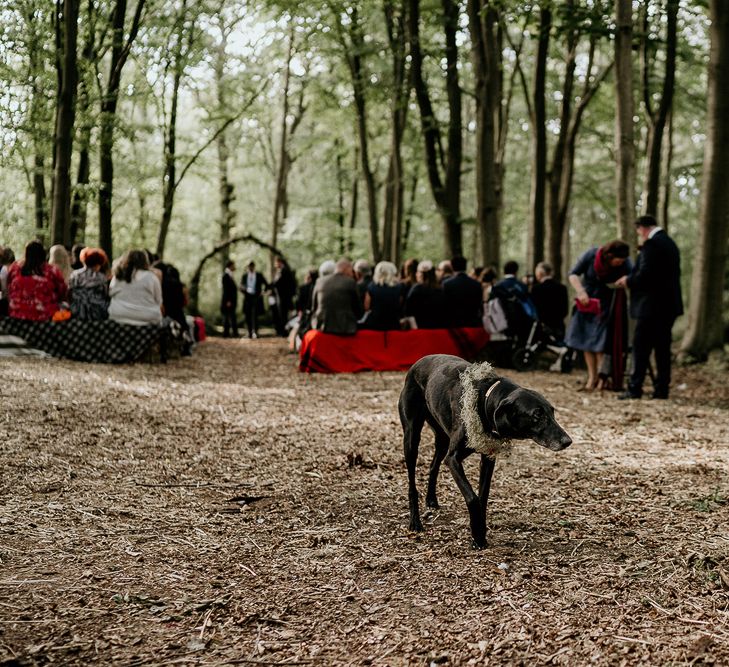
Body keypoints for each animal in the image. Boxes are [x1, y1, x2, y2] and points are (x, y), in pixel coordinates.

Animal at [400, 354, 572, 548]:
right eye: (537, 415)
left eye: (552, 412)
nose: (567, 441)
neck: (485, 398)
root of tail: (418, 362)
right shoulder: (453, 459)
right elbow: (473, 498)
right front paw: (477, 535)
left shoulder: (488, 458)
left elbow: (483, 496)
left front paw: (480, 533)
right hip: (412, 437)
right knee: (412, 482)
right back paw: (415, 522)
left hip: (442, 438)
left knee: (433, 466)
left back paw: (431, 500)